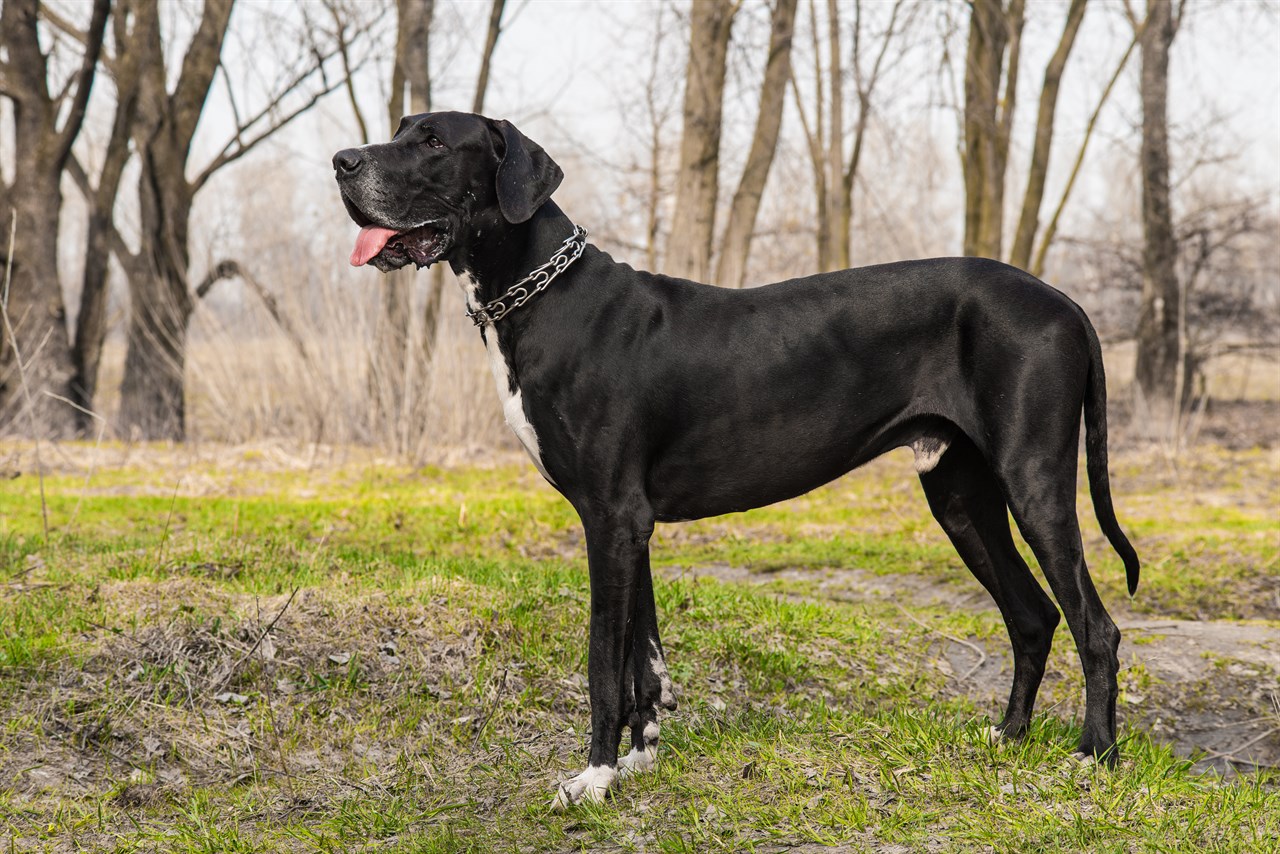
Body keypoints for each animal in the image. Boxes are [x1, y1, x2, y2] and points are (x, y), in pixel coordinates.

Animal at [332, 110, 1141, 804]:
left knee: (1095, 626)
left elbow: (602, 661)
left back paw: (1092, 757)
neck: (542, 295)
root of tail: (1069, 304)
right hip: (960, 495)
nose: (342, 161)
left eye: (433, 142)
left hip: (1032, 480)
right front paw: (639, 760)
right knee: (1033, 614)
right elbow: (644, 658)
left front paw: (593, 778)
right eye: (399, 129)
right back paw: (1008, 735)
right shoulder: (632, 523)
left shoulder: (609, 519)